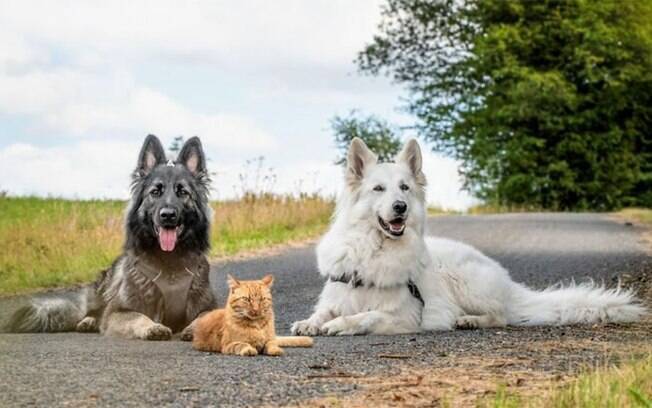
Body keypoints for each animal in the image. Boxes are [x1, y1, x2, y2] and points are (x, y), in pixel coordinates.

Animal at [7, 135, 216, 340]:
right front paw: (153, 327)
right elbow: (137, 316)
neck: (170, 261)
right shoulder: (117, 311)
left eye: (183, 192)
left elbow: (206, 315)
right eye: (155, 192)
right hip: (104, 288)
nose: (168, 215)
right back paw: (88, 321)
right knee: (94, 311)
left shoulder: (207, 306)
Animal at [292, 137, 648, 334]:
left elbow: (366, 316)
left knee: (501, 315)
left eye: (404, 188)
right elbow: (323, 310)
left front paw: (340, 325)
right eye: (378, 189)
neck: (375, 249)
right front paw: (311, 323)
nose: (400, 207)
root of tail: (509, 283)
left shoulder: (408, 314)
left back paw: (470, 321)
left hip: (463, 281)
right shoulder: (339, 294)